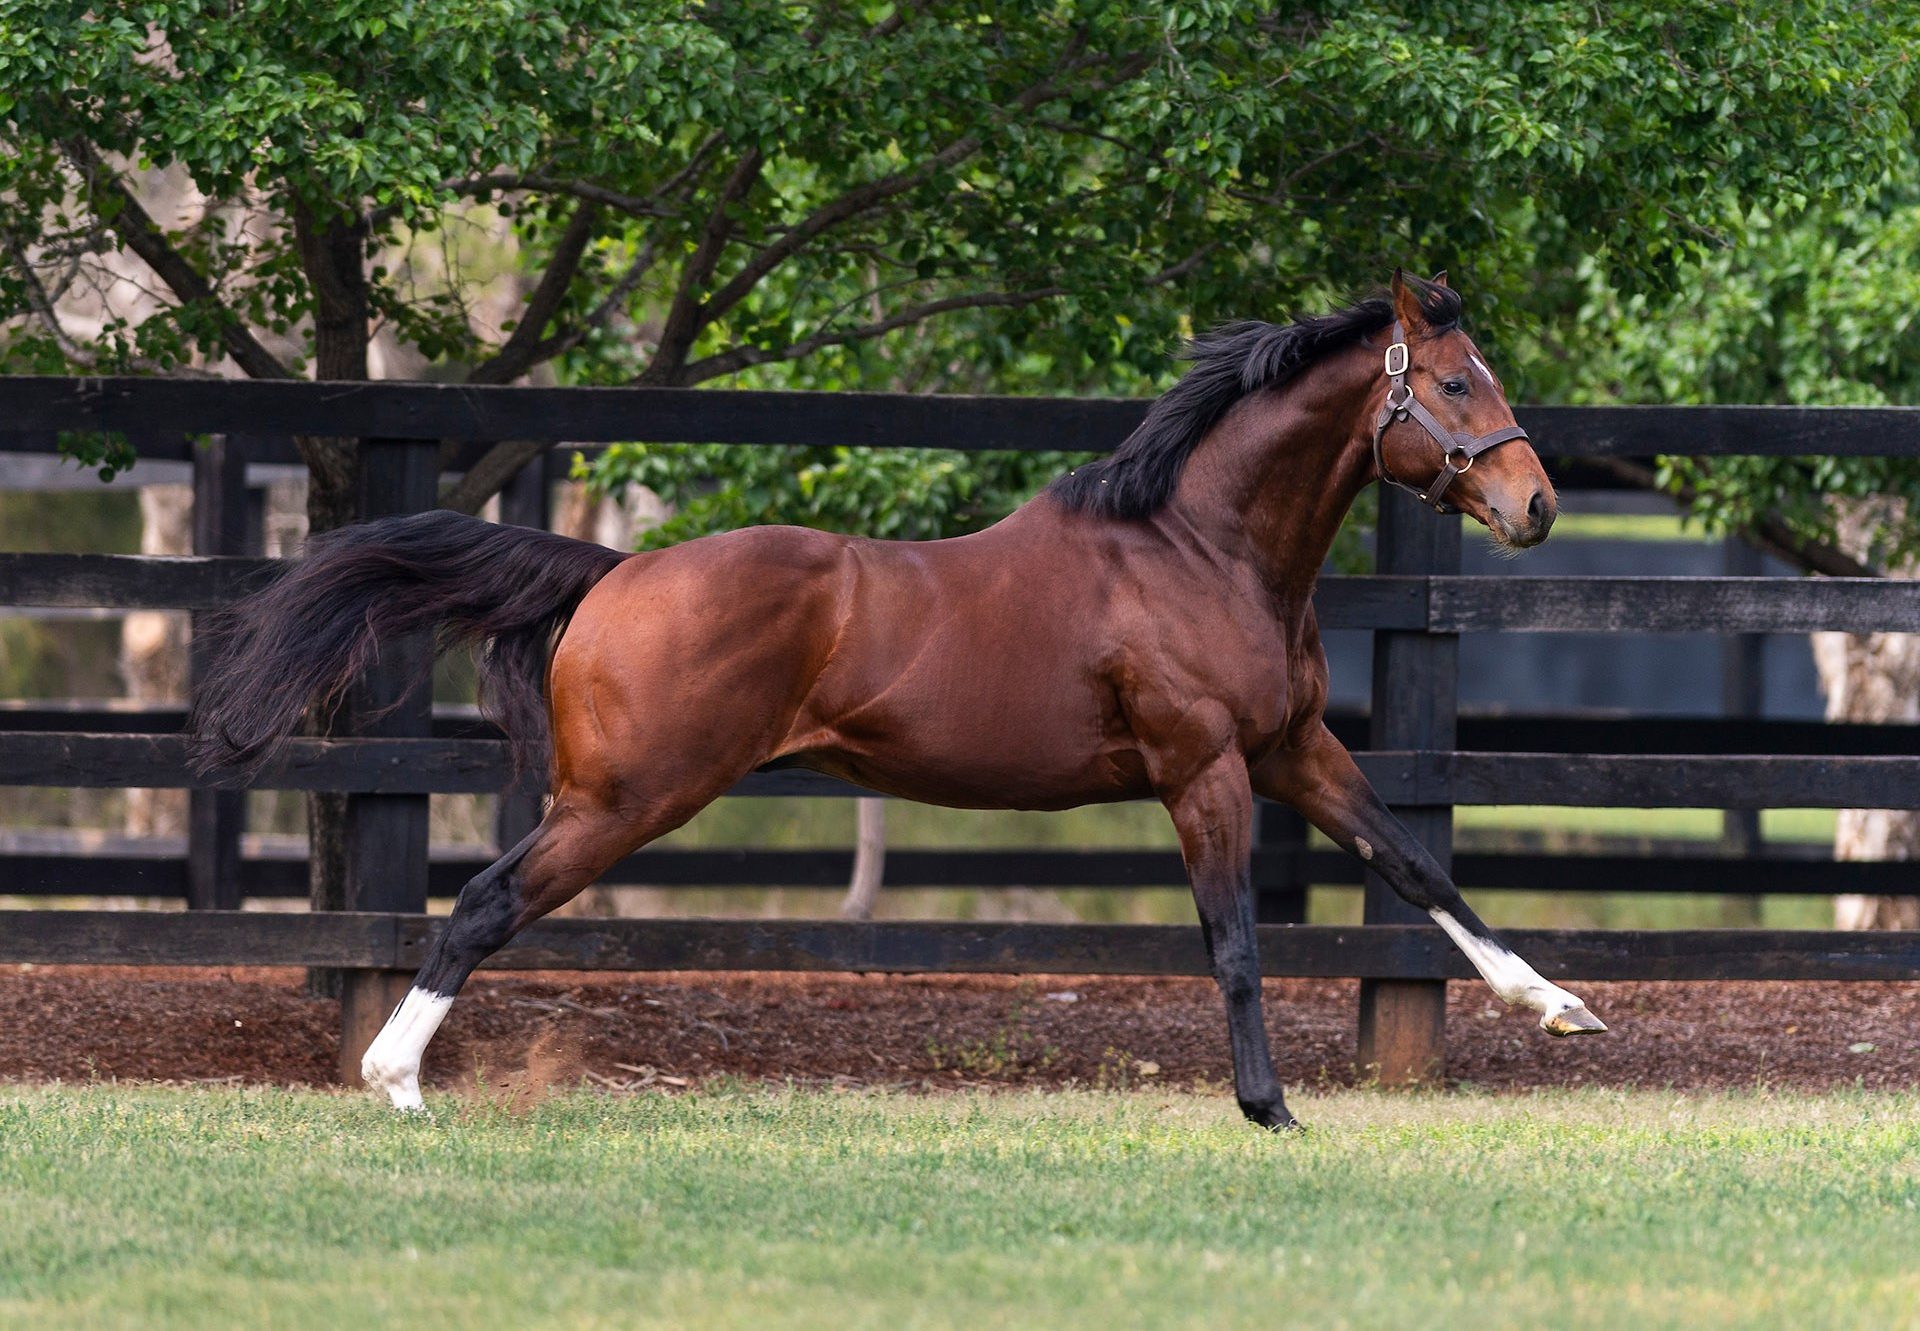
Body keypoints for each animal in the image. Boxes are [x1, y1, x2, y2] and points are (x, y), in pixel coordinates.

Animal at [194, 270, 1605, 1121]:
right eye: (1457, 381)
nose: (1537, 504)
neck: (1196, 547)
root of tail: (618, 571)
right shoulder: (1202, 770)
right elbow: (1237, 943)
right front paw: (1269, 1106)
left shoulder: (1294, 749)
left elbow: (1418, 866)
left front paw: (1559, 1007)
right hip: (625, 799)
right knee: (484, 903)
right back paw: (396, 1081)